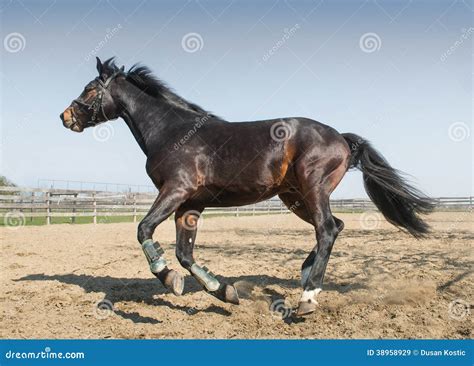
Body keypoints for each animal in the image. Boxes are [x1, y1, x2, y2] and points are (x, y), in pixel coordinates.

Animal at [60, 57, 434, 314]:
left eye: (90, 89)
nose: (66, 117)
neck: (171, 132)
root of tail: (341, 138)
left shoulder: (176, 190)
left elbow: (144, 229)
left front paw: (168, 278)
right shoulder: (190, 204)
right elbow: (185, 253)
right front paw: (223, 291)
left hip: (312, 189)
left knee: (327, 229)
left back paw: (308, 298)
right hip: (294, 197)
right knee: (335, 226)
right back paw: (304, 275)